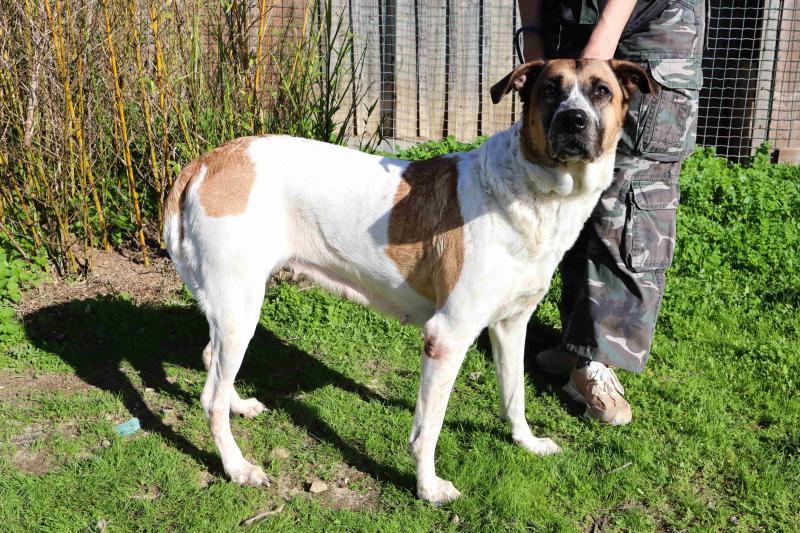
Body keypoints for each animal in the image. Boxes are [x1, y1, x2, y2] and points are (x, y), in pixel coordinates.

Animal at [164, 59, 654, 504]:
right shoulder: (446, 337)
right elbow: (427, 430)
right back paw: (237, 467)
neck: (537, 195)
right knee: (209, 398)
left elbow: (514, 395)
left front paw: (527, 443)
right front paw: (428, 488)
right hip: (240, 308)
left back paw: (240, 405)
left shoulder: (511, 326)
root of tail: (206, 163)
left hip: (233, 309)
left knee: (211, 361)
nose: (573, 120)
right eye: (550, 90)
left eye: (601, 91)